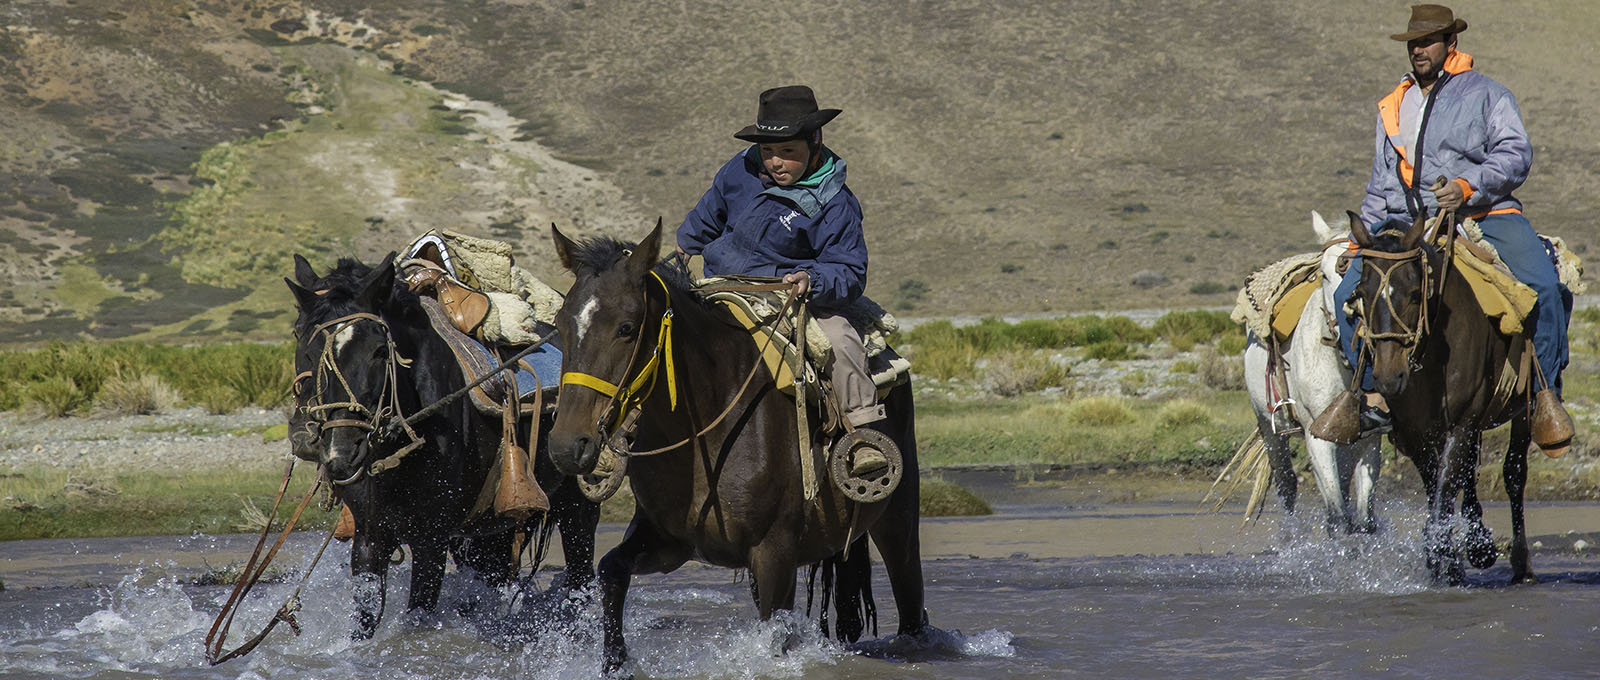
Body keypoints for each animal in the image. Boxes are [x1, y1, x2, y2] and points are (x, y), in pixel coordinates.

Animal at [284, 251, 601, 636]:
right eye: (303, 341)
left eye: (379, 350)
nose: (342, 452)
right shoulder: (370, 537)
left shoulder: (430, 541)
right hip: (489, 532)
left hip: (577, 510)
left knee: (580, 579)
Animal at [547, 219, 934, 672]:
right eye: (560, 324)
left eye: (626, 328)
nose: (566, 445)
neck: (707, 425)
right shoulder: (670, 541)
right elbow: (610, 571)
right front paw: (614, 660)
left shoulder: (775, 554)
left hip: (898, 519)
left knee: (910, 595)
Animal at [1241, 209, 1382, 531]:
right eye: (1324, 274)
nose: (1351, 323)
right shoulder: (1317, 440)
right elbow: (1338, 518)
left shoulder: (1370, 440)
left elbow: (1364, 519)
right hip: (1270, 430)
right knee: (1286, 484)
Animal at [1350, 217, 1536, 582]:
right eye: (1361, 293)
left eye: (1413, 293)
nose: (1388, 378)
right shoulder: (1417, 434)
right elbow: (1438, 483)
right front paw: (1449, 561)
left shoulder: (1462, 422)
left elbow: (1447, 484)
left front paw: (1442, 557)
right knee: (1470, 471)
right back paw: (1477, 546)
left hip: (1523, 407)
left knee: (1513, 472)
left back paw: (1519, 564)